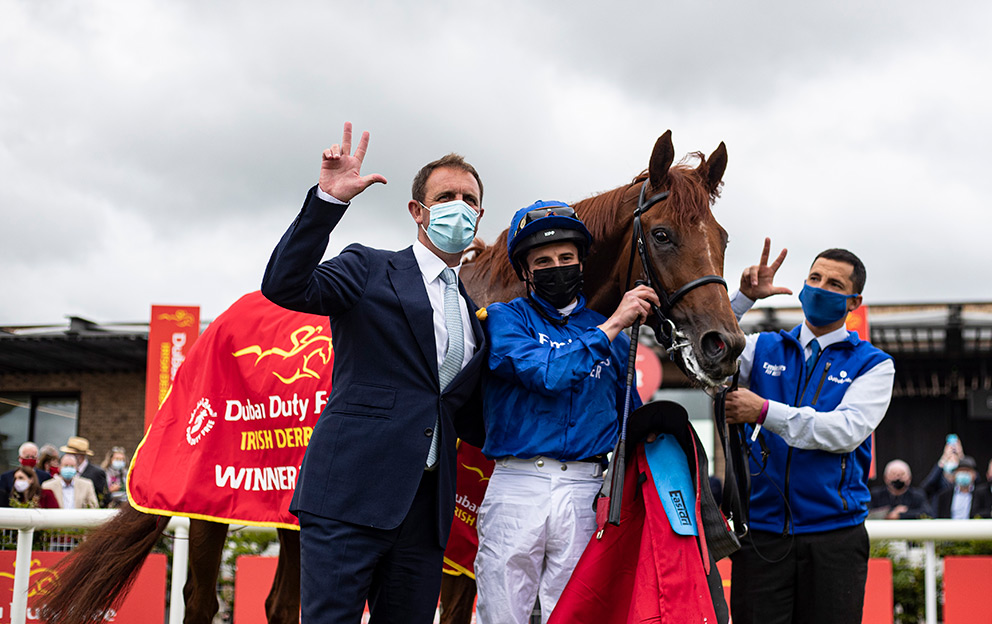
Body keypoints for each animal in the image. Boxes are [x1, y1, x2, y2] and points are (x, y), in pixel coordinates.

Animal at [38, 129, 740, 620]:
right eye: (661, 233)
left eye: (724, 237)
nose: (724, 345)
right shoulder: (463, 546)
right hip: (208, 502)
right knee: (202, 601)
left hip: (294, 517)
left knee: (280, 604)